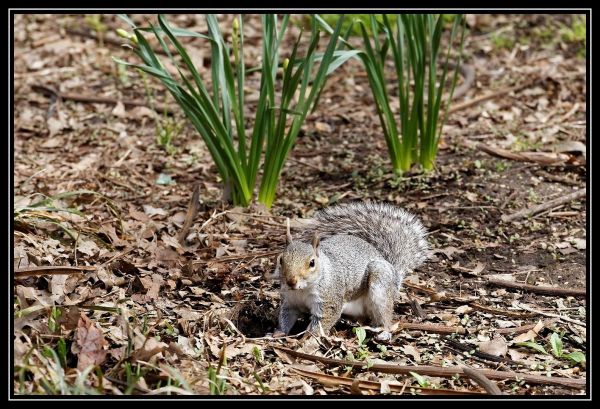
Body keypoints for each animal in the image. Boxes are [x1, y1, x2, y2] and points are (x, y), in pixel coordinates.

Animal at [270, 202, 428, 342]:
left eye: (312, 263)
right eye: (281, 259)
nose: (291, 281)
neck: (302, 290)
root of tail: (394, 272)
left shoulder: (329, 299)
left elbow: (322, 322)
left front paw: (307, 338)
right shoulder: (290, 301)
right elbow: (286, 317)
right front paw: (277, 333)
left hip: (381, 285)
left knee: (385, 316)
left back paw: (384, 332)